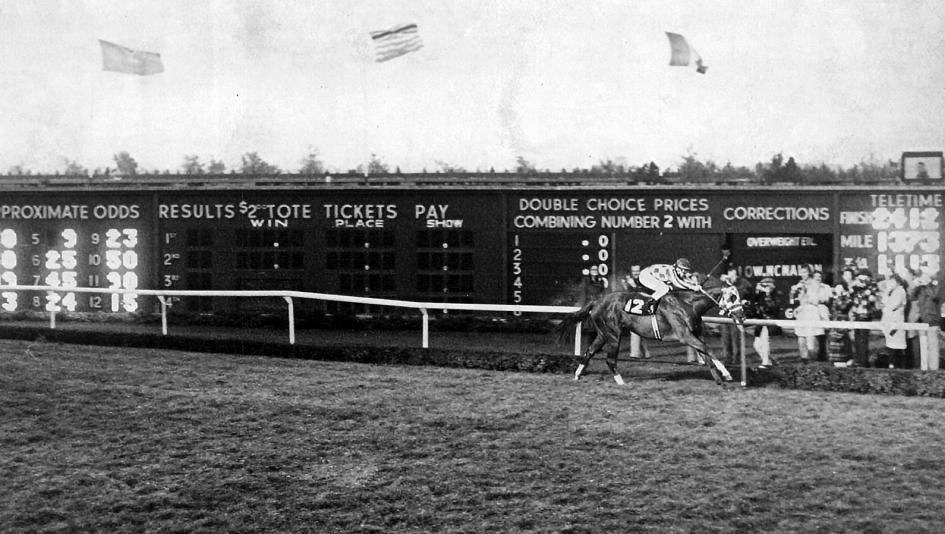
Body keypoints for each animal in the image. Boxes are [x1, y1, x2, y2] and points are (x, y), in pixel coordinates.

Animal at [552, 276, 752, 386]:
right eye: (732, 297)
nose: (742, 317)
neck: (689, 304)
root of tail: (596, 301)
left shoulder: (694, 334)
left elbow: (707, 354)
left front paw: (721, 377)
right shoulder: (685, 335)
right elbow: (707, 349)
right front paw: (724, 375)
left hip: (603, 334)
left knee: (589, 352)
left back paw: (577, 375)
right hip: (613, 334)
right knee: (609, 359)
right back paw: (621, 381)